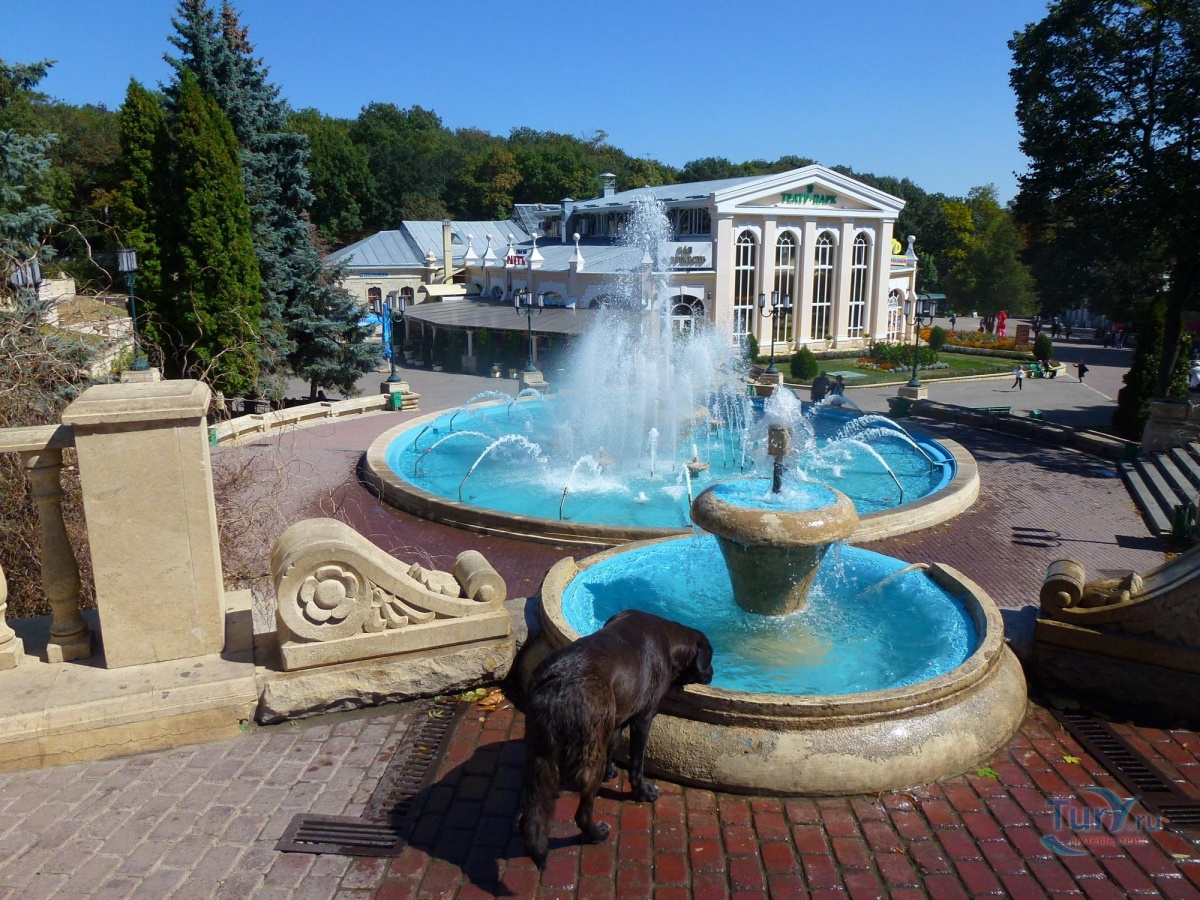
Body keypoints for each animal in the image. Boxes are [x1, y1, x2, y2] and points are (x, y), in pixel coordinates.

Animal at [518, 609, 710, 868]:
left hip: (539, 751)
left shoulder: (619, 714)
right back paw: (596, 833)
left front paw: (611, 771)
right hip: (588, 757)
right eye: (711, 660)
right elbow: (637, 764)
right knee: (582, 813)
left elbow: (614, 744)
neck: (670, 640)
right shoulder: (643, 718)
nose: (713, 674)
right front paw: (643, 793)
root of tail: (557, 683)